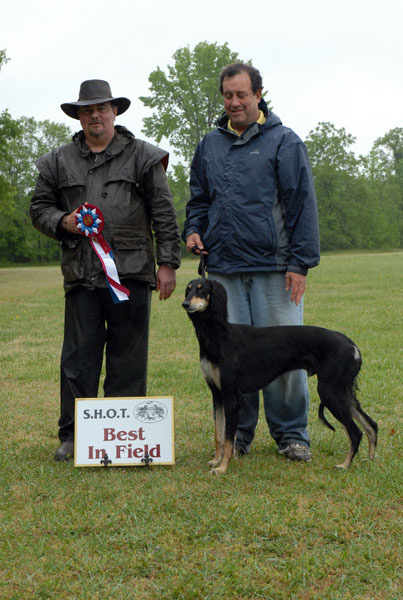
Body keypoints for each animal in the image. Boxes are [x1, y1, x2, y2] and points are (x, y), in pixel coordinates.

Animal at [183, 278, 378, 476]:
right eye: (188, 290)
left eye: (202, 289)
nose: (185, 304)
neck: (218, 335)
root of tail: (352, 345)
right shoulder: (217, 394)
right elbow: (219, 434)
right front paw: (216, 461)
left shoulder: (231, 396)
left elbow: (229, 438)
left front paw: (222, 468)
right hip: (340, 390)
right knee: (371, 425)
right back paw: (370, 460)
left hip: (330, 391)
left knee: (355, 432)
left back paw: (344, 465)